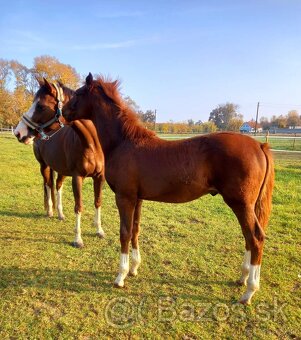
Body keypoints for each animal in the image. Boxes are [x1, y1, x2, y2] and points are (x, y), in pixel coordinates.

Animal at [14, 78, 105, 246]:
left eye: (40, 106)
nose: (18, 132)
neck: (92, 144)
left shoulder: (99, 177)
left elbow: (97, 201)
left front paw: (99, 231)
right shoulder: (77, 178)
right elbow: (78, 206)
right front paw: (78, 239)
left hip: (61, 170)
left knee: (58, 186)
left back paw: (60, 214)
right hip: (44, 166)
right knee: (48, 185)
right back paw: (50, 211)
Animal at [63, 73, 274, 304]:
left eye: (79, 93)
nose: (62, 112)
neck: (123, 142)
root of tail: (260, 146)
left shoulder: (124, 197)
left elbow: (125, 233)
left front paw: (120, 276)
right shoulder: (137, 198)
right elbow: (135, 229)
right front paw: (134, 268)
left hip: (240, 204)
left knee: (255, 237)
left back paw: (249, 291)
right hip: (245, 205)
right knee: (249, 237)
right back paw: (242, 278)